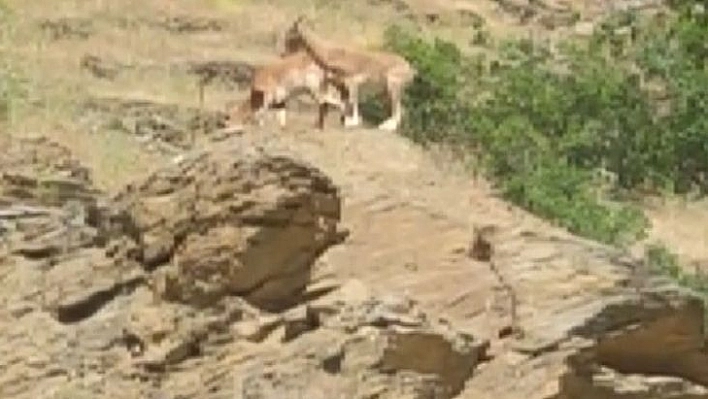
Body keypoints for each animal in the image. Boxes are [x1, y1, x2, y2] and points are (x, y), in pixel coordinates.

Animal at [280, 15, 418, 132]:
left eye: (290, 35)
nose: (283, 55)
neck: (331, 54)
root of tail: (410, 69)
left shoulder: (353, 83)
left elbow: (352, 102)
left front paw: (352, 122)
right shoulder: (337, 85)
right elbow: (333, 102)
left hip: (393, 87)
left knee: (398, 109)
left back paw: (386, 127)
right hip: (387, 91)